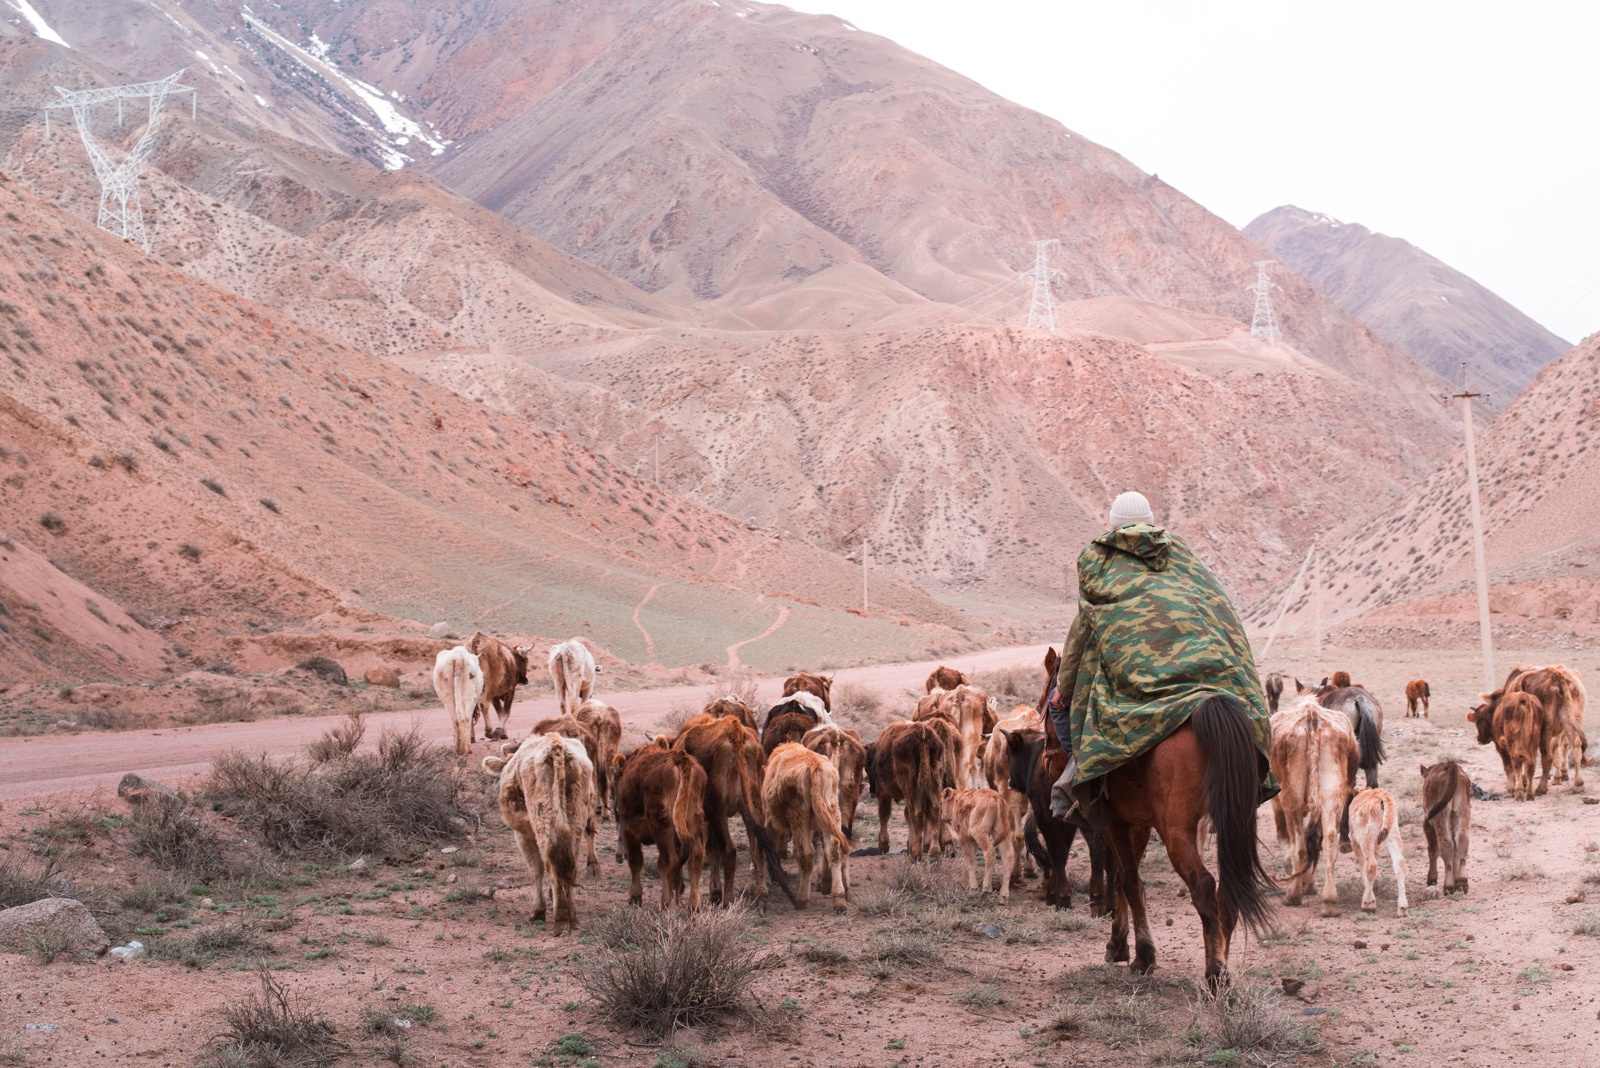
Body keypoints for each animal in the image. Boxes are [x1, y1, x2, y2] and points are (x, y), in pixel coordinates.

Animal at [483, 729, 598, 927]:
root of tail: (555, 745)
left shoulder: (523, 834)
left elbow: (535, 869)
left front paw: (538, 910)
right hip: (576, 819)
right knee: (570, 864)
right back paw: (571, 914)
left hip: (541, 820)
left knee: (551, 863)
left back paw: (560, 915)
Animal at [611, 741, 707, 908]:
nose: (615, 807)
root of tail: (679, 759)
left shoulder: (630, 831)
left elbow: (636, 862)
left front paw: (635, 897)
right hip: (693, 823)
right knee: (695, 859)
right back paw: (693, 907)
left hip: (661, 828)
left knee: (671, 862)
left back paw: (670, 907)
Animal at [761, 741, 851, 908]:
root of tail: (813, 764)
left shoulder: (770, 821)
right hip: (831, 812)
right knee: (834, 851)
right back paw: (839, 898)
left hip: (798, 817)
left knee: (807, 854)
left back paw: (801, 898)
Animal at [870, 716, 940, 856]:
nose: (871, 790)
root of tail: (922, 732)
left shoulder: (883, 793)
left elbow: (884, 814)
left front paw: (884, 845)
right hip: (932, 784)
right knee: (934, 810)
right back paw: (934, 853)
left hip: (910, 788)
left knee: (916, 813)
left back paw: (916, 854)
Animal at [1427, 757, 1472, 895]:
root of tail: (1451, 766)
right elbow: (1455, 853)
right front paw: (1457, 880)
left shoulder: (1427, 824)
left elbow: (1433, 850)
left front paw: (1431, 880)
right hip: (1462, 814)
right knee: (1462, 840)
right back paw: (1462, 882)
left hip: (1439, 819)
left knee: (1445, 843)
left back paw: (1448, 886)